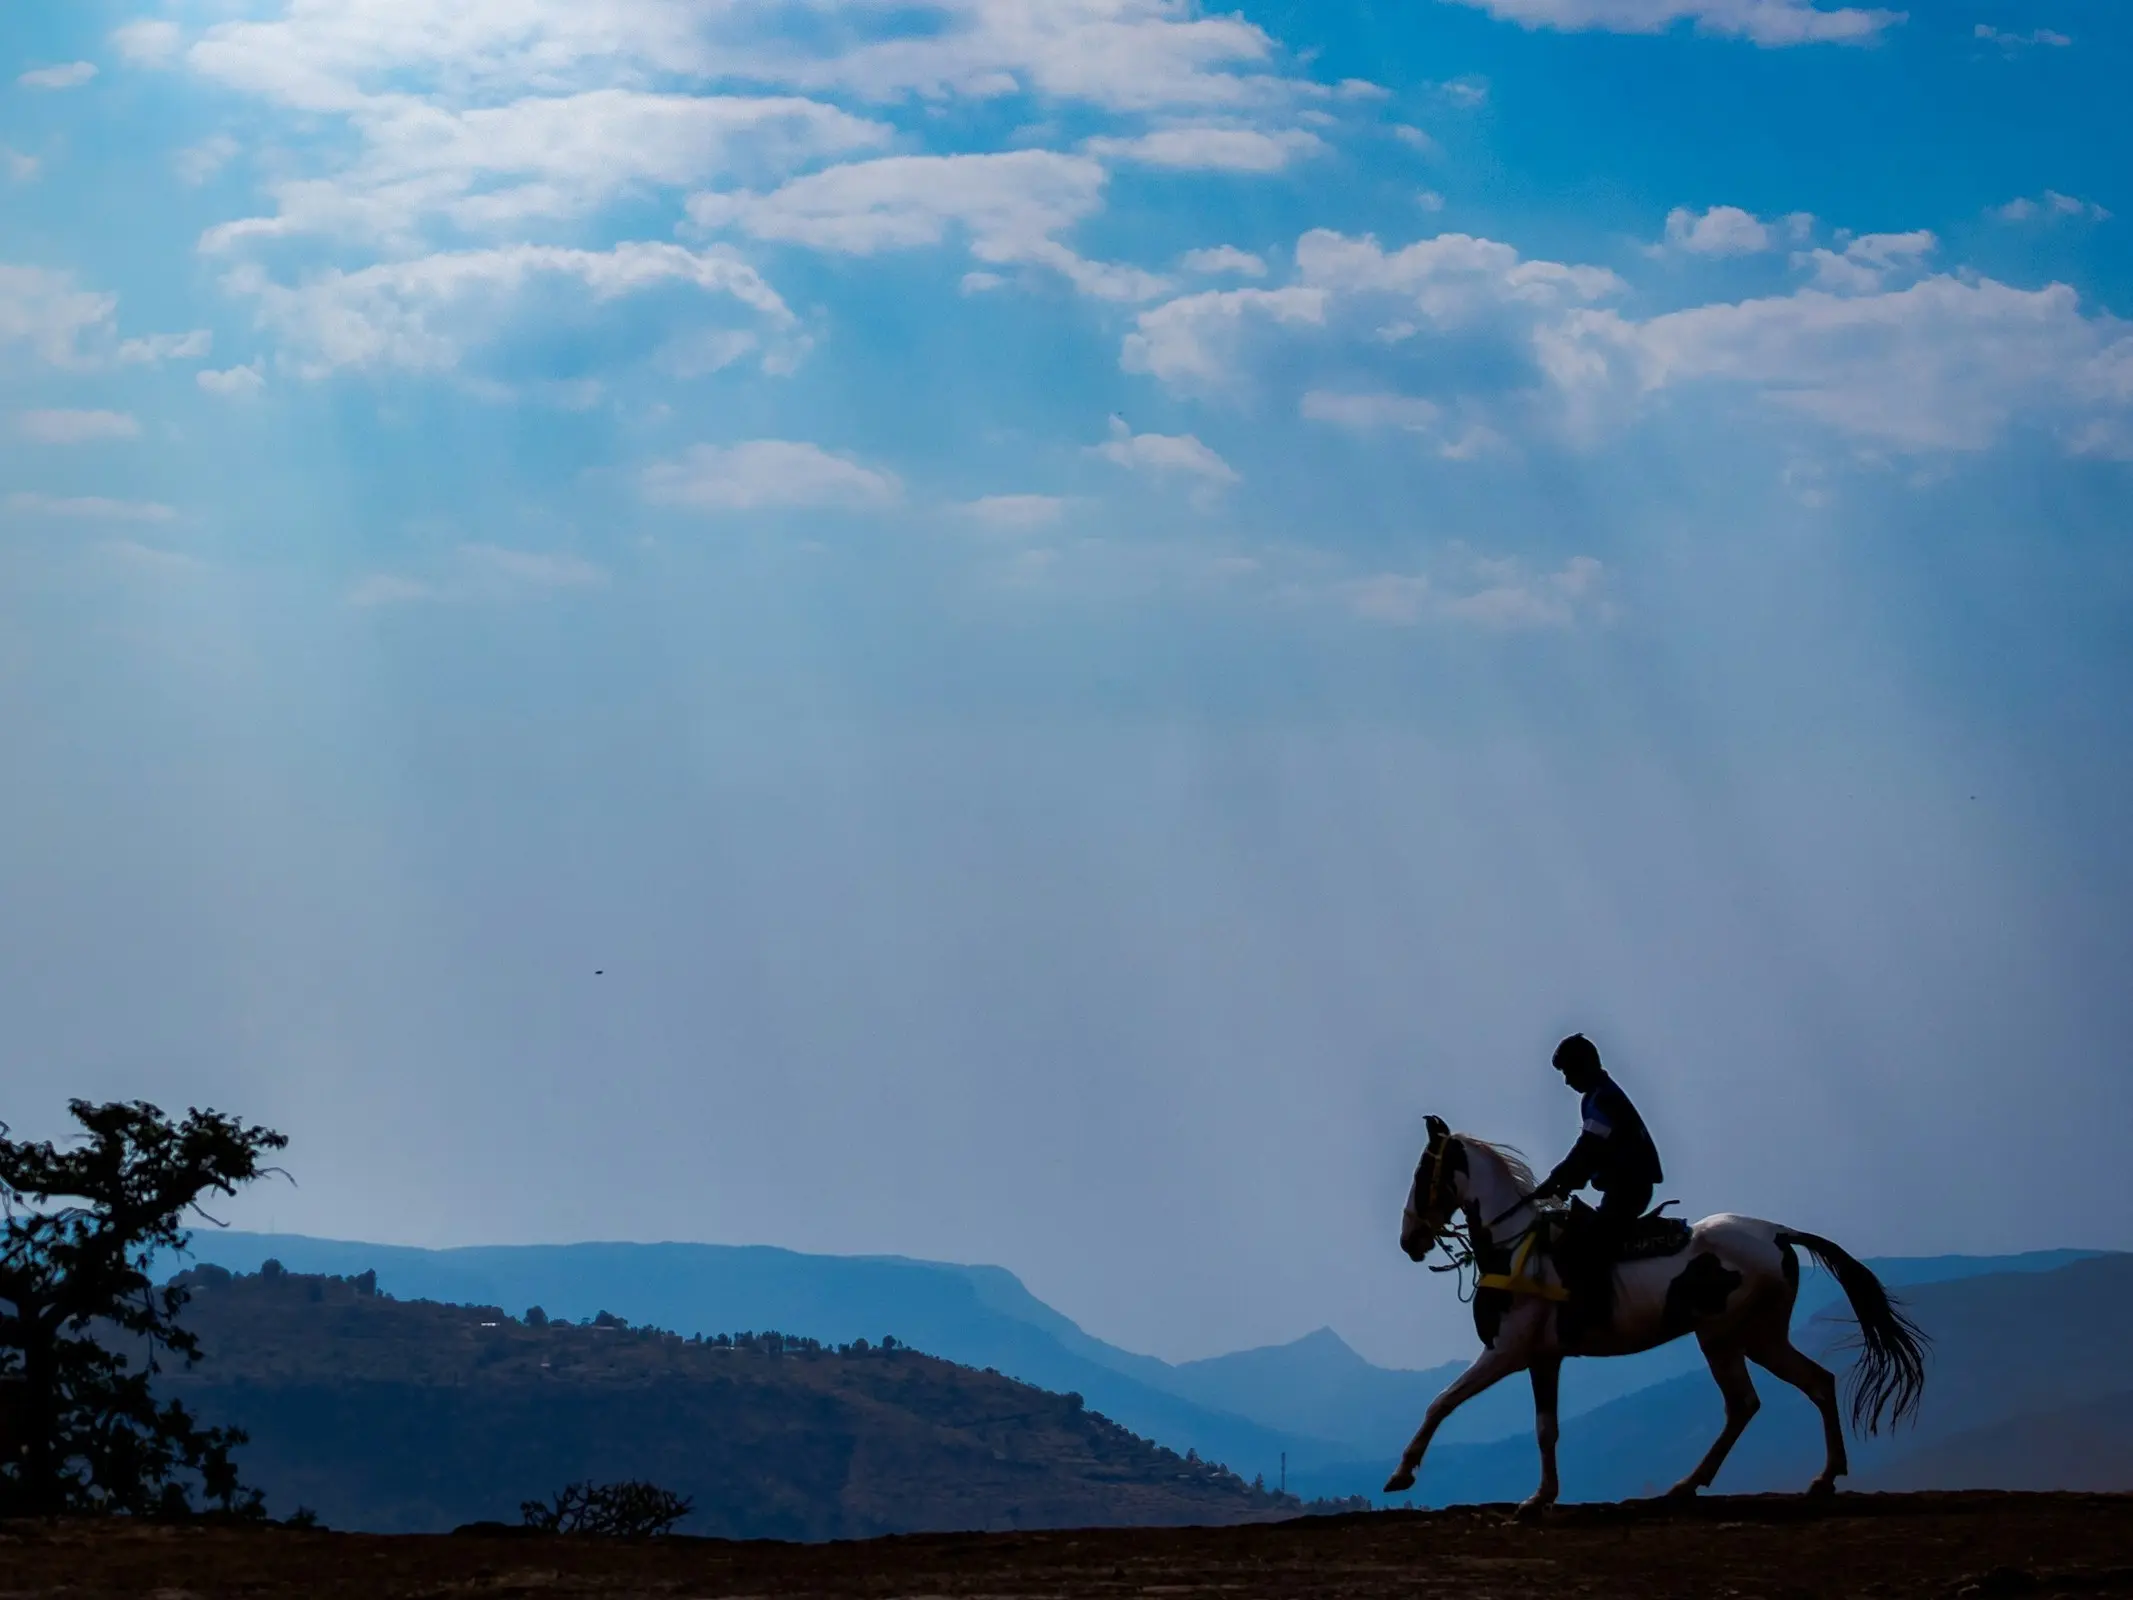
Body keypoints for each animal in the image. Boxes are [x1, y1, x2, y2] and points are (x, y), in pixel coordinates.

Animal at [1382, 1117, 1936, 1518]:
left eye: (1420, 1175)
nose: (1409, 1240)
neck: (1514, 1247)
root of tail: (1779, 1233)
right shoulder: (1544, 1359)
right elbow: (1545, 1429)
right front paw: (1540, 1497)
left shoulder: (1505, 1352)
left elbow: (1442, 1401)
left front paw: (1403, 1473)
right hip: (1761, 1336)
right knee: (1816, 1382)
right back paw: (1822, 1477)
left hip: (1721, 1336)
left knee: (1744, 1403)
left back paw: (1687, 1485)